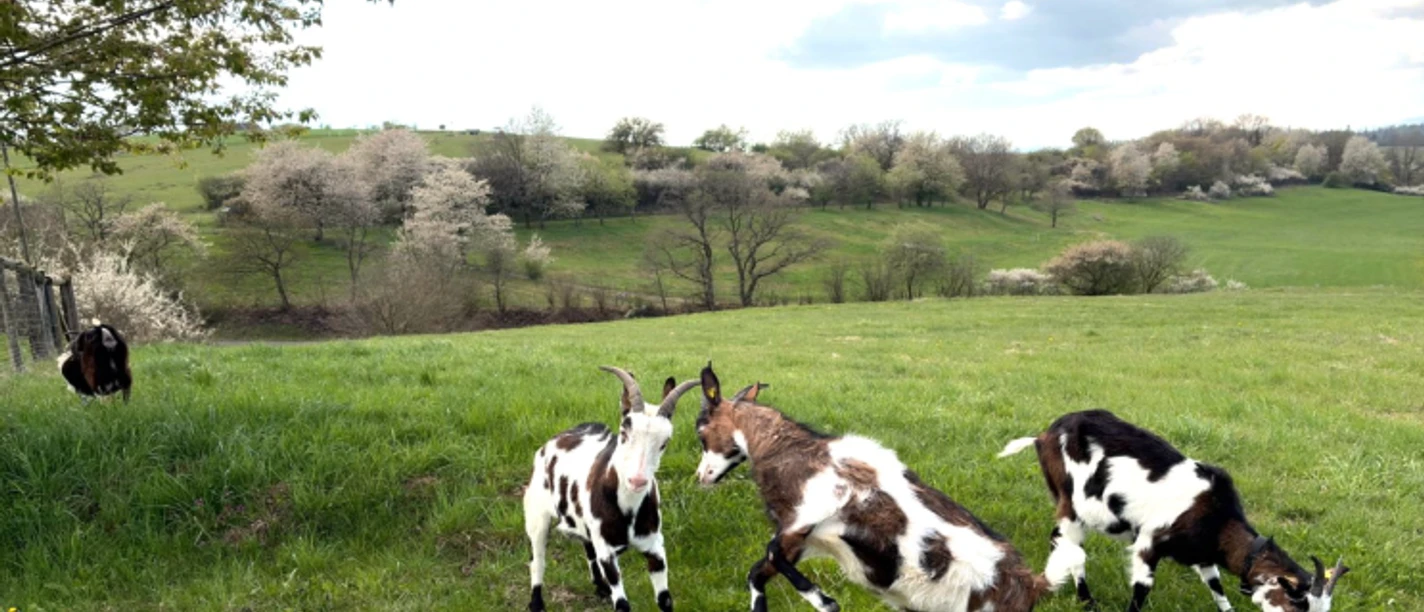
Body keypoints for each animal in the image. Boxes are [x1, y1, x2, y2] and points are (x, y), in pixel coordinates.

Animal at [523, 366, 698, 612]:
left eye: (665, 442)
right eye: (624, 433)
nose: (637, 481)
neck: (628, 509)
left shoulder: (655, 547)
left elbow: (665, 599)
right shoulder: (607, 553)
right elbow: (623, 605)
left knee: (588, 548)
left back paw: (601, 587)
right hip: (536, 514)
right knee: (537, 560)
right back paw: (537, 603)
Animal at [692, 363, 1077, 612]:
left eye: (700, 429)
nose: (703, 477)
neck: (791, 450)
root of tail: (1032, 586)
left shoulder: (807, 516)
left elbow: (770, 552)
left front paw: (825, 601)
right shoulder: (802, 539)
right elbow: (758, 573)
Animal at [998, 409, 1349, 612]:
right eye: (1298, 604)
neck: (1216, 517)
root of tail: (1043, 435)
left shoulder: (1203, 554)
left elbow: (1217, 589)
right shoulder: (1148, 545)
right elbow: (1140, 594)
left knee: (1058, 539)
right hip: (1071, 504)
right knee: (1072, 546)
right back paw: (1088, 602)